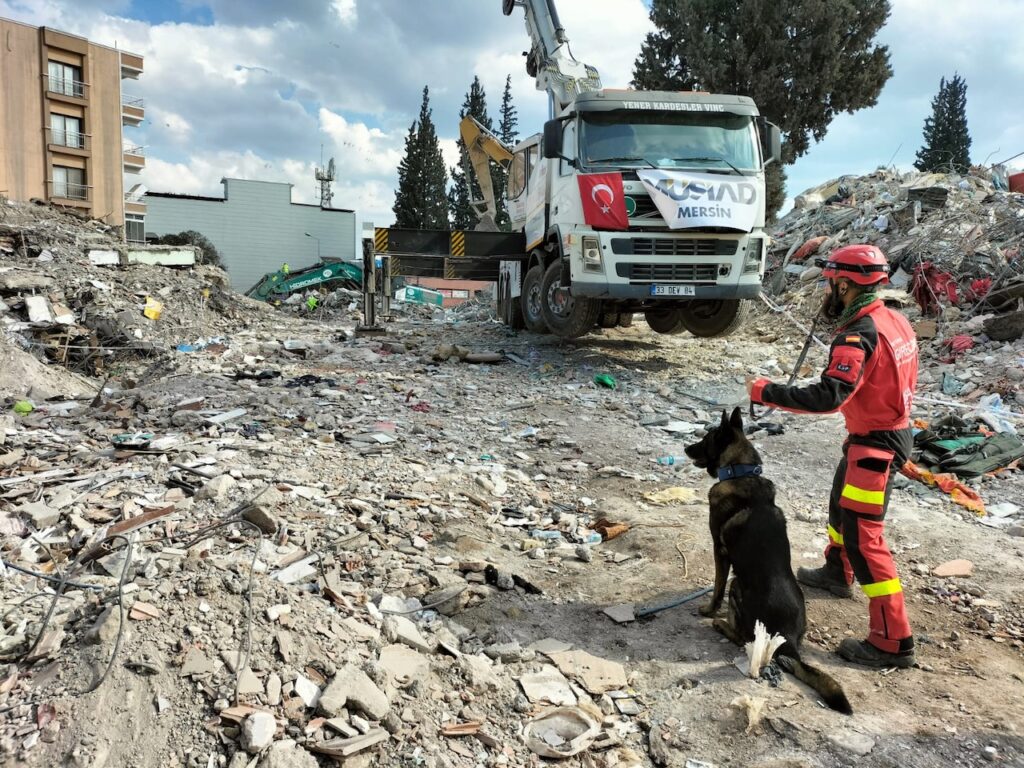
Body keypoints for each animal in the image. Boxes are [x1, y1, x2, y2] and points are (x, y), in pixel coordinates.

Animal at [688, 409, 856, 716]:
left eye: (705, 439)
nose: (685, 448)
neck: (741, 471)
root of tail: (787, 640)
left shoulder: (720, 552)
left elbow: (716, 586)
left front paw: (709, 609)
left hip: (738, 586)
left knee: (743, 637)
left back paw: (720, 623)